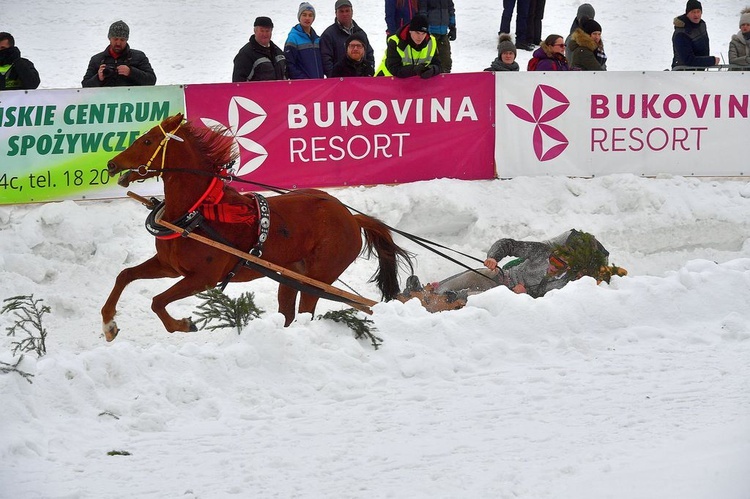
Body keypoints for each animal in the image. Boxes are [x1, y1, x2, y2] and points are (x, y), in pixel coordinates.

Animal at [100, 114, 414, 342]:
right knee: (288, 313)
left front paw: (184, 324)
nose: (112, 164)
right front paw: (109, 323)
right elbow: (124, 275)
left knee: (306, 311)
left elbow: (156, 301)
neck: (197, 212)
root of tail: (352, 218)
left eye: (147, 141)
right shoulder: (169, 266)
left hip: (317, 278)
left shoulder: (204, 278)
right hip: (291, 277)